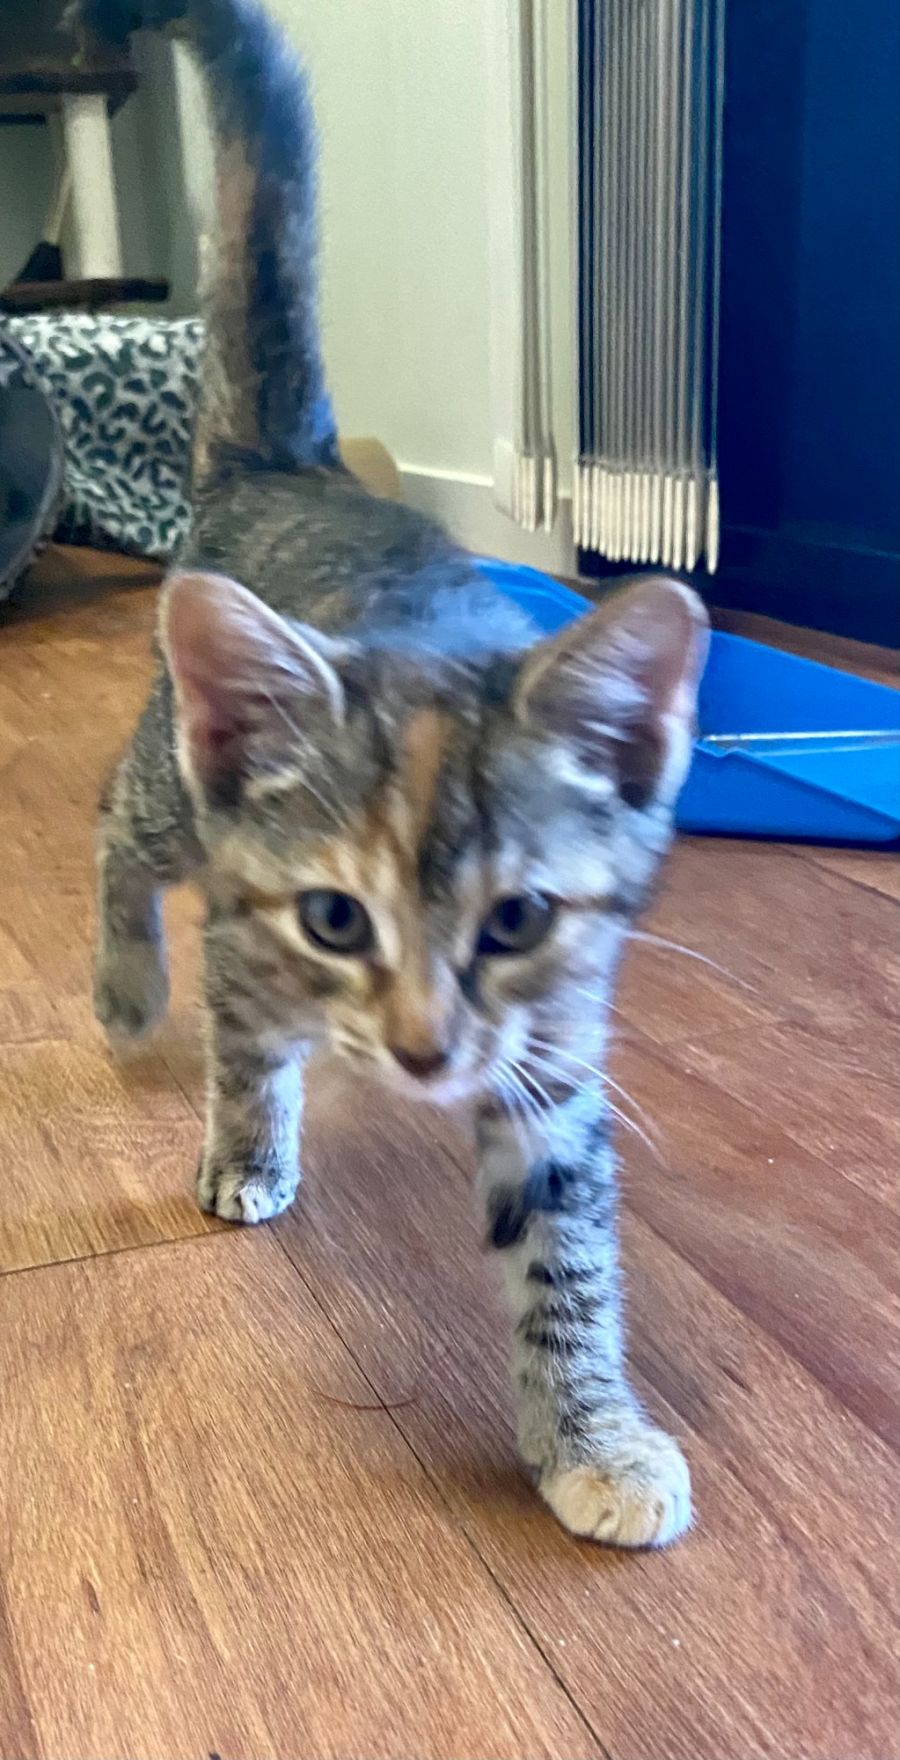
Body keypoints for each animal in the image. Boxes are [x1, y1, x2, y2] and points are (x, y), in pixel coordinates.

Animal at [75, 0, 707, 1545]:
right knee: (122, 831)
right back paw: (133, 991)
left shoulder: (558, 1053)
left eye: (519, 918)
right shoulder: (257, 920)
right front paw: (249, 1145)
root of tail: (291, 467)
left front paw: (591, 1434)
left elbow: (565, 1251)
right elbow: (247, 1042)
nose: (421, 1050)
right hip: (181, 792)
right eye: (336, 915)